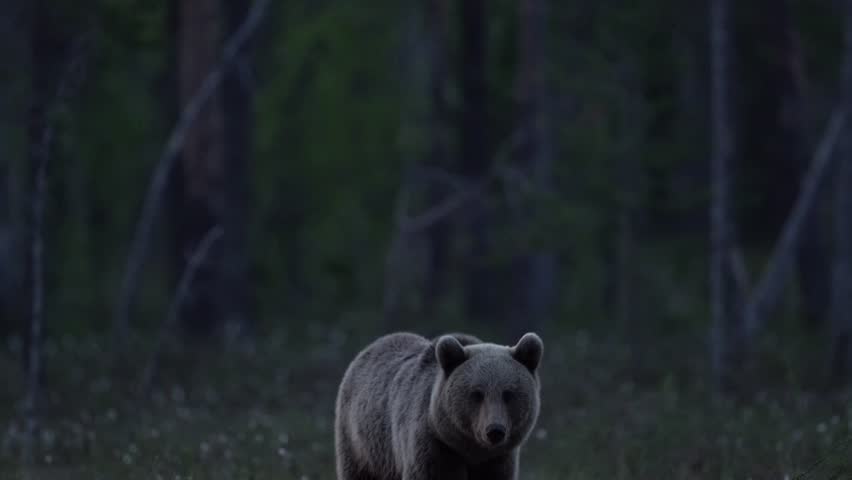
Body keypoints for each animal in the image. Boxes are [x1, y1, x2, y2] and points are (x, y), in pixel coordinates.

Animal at [334, 331, 543, 480]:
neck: (472, 451)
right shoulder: (434, 450)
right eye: (477, 394)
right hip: (362, 445)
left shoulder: (498, 461)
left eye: (508, 393)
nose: (494, 431)